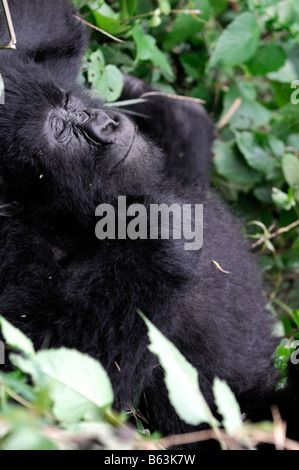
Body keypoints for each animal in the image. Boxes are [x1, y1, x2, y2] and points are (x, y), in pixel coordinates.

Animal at [0, 0, 296, 444]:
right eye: (61, 130)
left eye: (69, 102)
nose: (105, 123)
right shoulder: (15, 253)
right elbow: (55, 380)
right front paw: (156, 232)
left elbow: (33, 31)